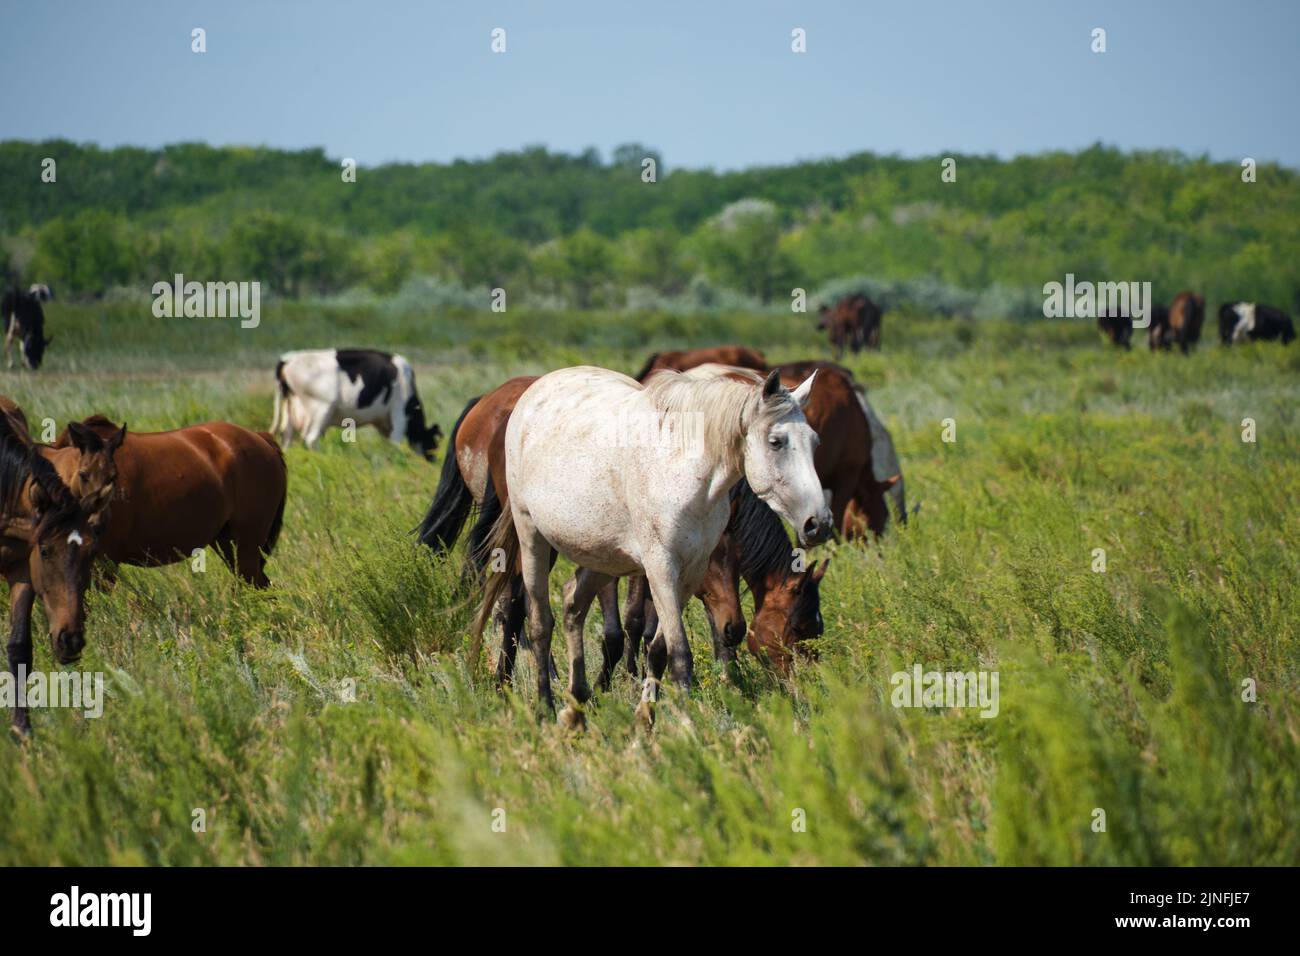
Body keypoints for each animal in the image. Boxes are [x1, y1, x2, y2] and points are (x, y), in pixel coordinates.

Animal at [271, 348, 442, 460]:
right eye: (433, 444)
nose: (432, 462)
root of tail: (288, 359)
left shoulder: (384, 423)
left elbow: (387, 444)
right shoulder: (399, 412)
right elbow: (395, 442)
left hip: (291, 409)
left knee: (286, 435)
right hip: (322, 408)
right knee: (311, 438)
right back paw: (322, 460)